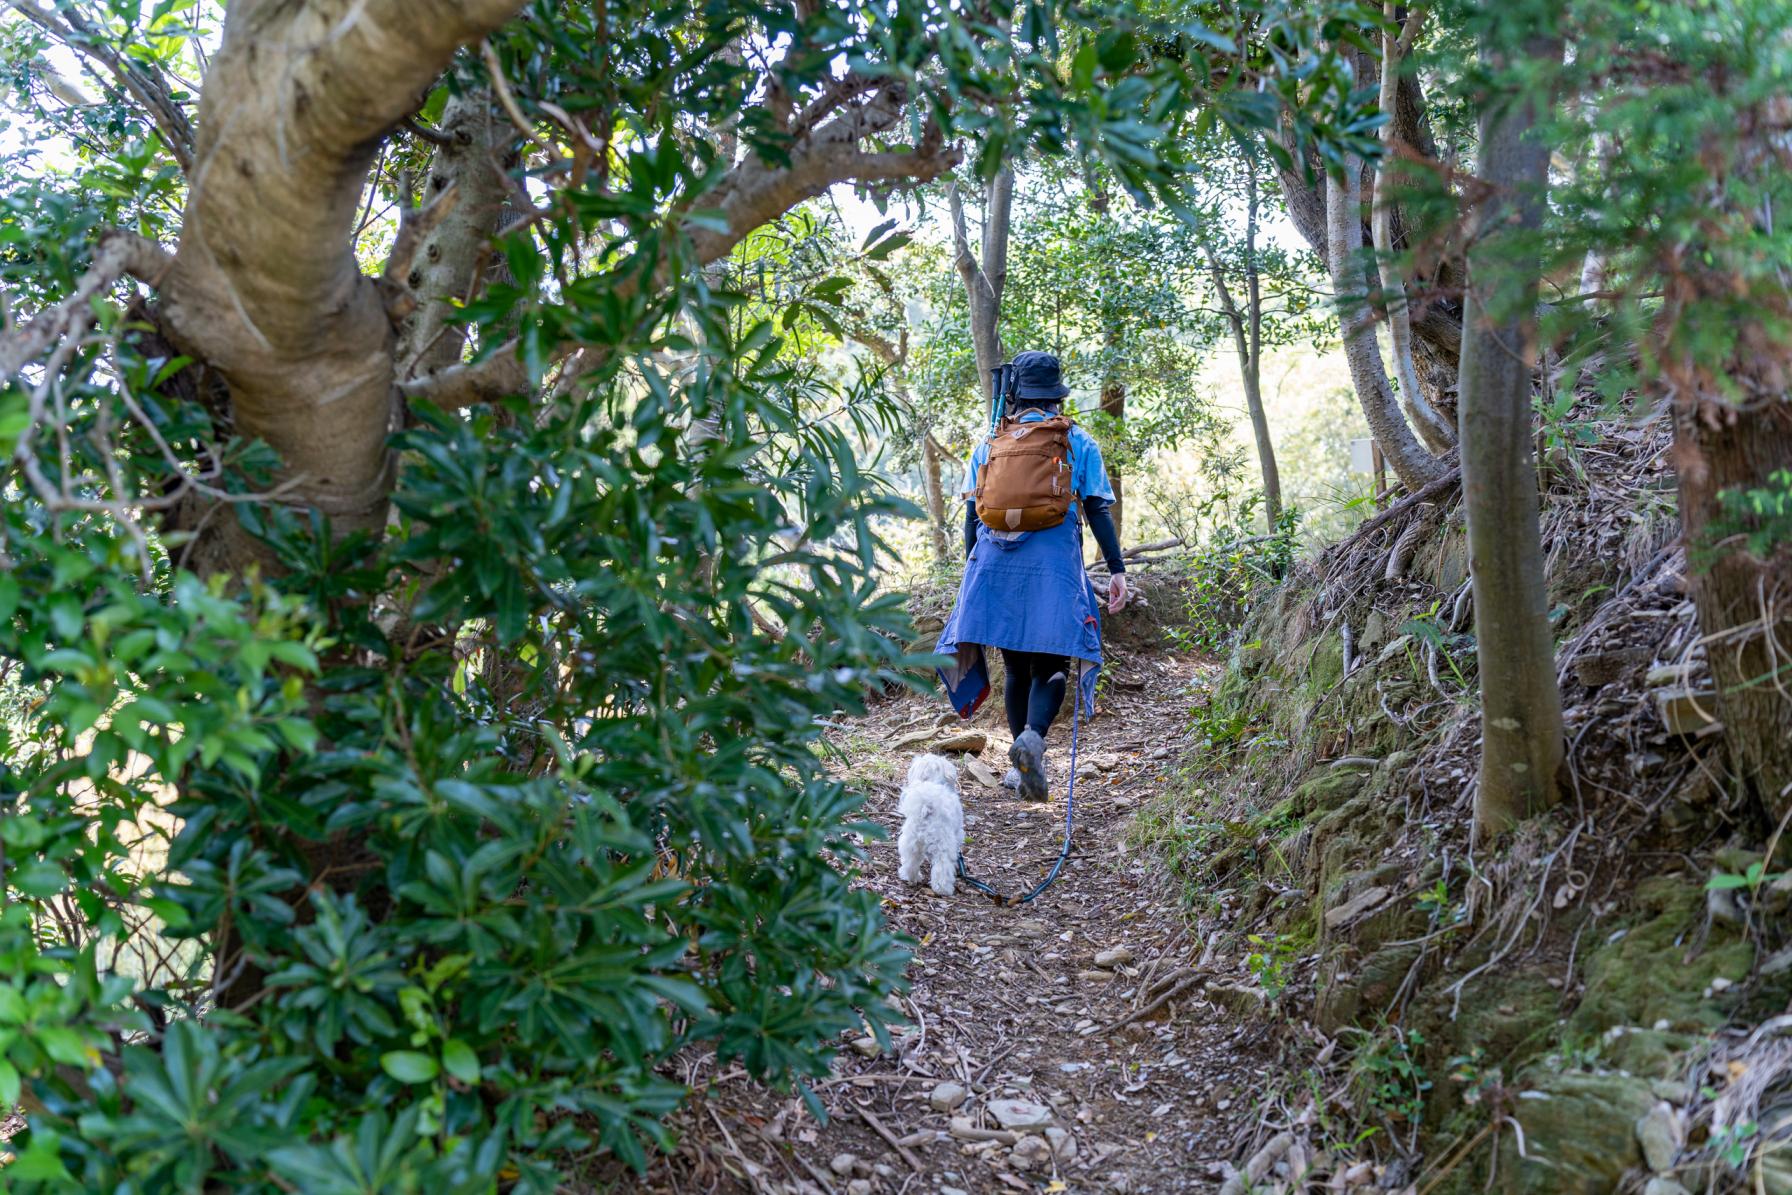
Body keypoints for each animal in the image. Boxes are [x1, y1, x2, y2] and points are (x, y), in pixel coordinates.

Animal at [896, 756, 967, 895]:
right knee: (942, 866)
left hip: (911, 842)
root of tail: (927, 806)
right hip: (943, 844)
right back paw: (943, 889)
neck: (935, 781)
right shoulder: (957, 835)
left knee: (910, 861)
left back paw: (910, 877)